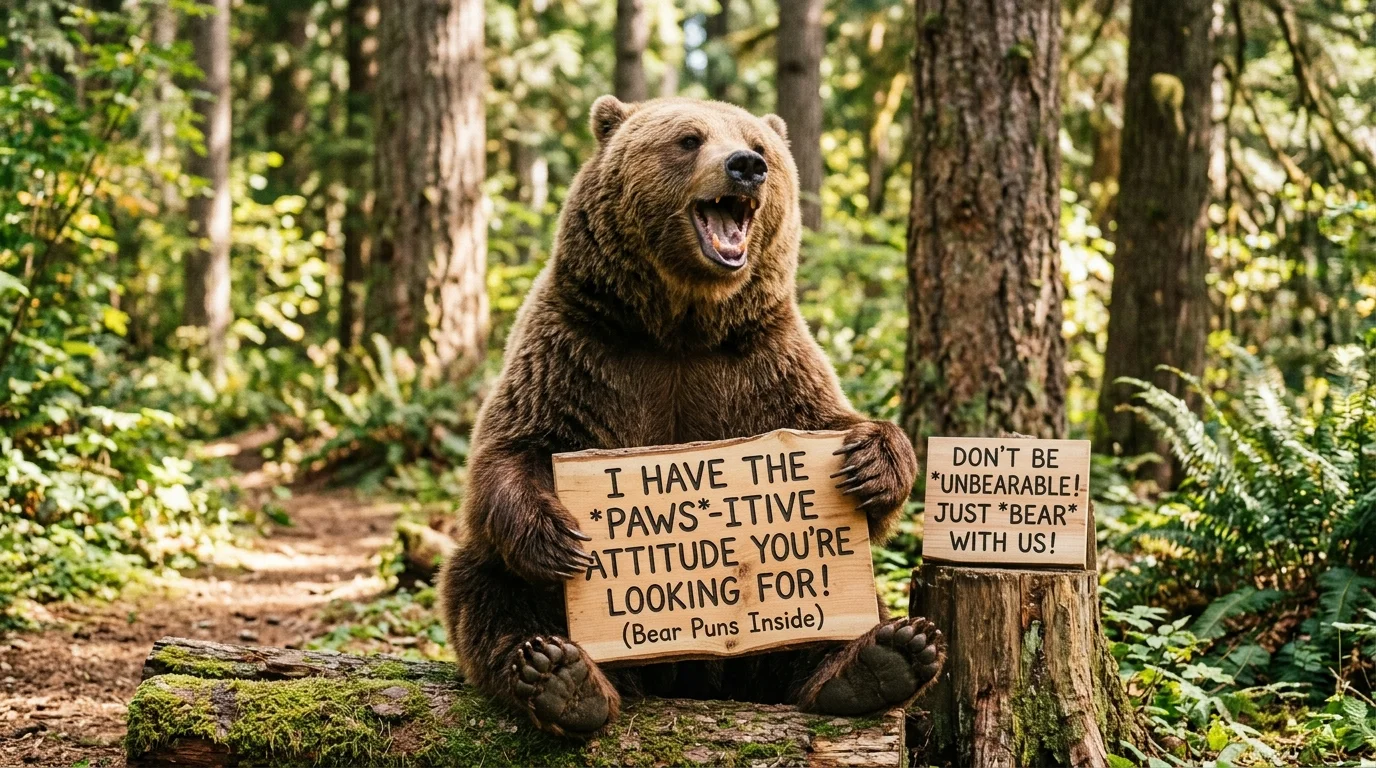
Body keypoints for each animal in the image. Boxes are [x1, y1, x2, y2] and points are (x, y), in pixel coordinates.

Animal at [438, 95, 946, 738]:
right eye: (688, 138)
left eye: (758, 141)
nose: (747, 166)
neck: (682, 323)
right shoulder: (577, 348)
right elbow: (510, 448)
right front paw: (561, 538)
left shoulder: (764, 361)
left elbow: (834, 426)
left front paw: (871, 462)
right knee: (488, 587)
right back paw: (558, 676)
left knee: (836, 622)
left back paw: (882, 659)